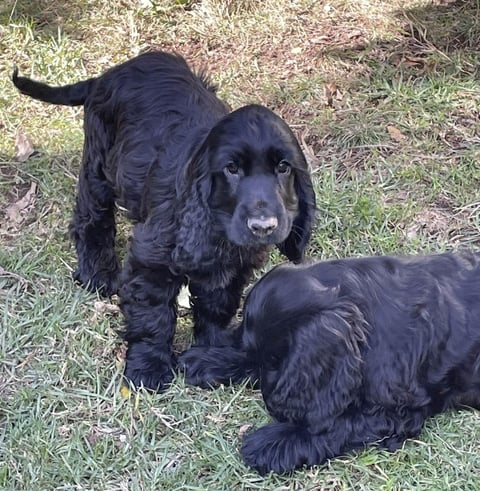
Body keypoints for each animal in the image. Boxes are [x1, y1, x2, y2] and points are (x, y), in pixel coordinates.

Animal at [12, 51, 316, 392]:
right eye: (232, 169)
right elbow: (153, 315)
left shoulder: (233, 267)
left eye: (283, 167)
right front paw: (149, 368)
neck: (216, 227)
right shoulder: (151, 260)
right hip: (99, 162)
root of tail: (108, 75)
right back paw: (97, 273)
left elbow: (217, 305)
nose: (263, 227)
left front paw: (212, 350)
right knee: (90, 216)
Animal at [179, 252, 480, 474]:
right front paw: (206, 359)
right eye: (271, 359)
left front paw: (274, 442)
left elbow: (338, 425)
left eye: (279, 361)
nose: (273, 404)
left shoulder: (399, 412)